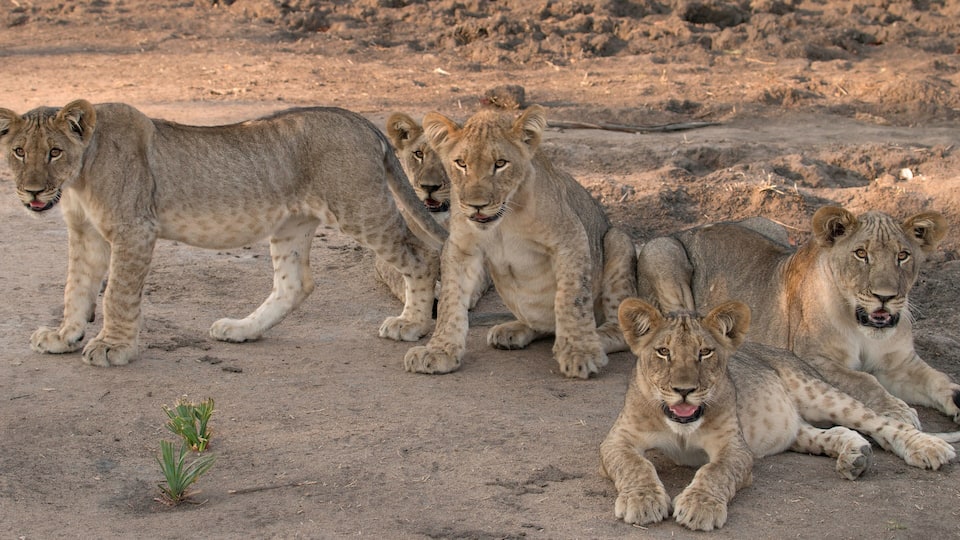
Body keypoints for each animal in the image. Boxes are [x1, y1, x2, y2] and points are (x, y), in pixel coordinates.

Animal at [0, 100, 447, 367]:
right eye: (19, 151)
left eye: (54, 152)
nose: (33, 191)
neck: (77, 178)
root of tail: (362, 122)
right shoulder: (85, 234)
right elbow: (75, 289)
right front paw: (64, 336)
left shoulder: (135, 230)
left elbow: (116, 295)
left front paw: (113, 347)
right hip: (292, 224)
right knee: (295, 285)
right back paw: (241, 330)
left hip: (360, 208)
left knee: (421, 254)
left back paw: (411, 324)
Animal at [402, 105, 638, 378]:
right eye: (461, 163)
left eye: (500, 164)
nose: (476, 206)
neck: (504, 220)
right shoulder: (461, 247)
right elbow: (450, 302)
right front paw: (439, 351)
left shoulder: (571, 237)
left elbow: (572, 298)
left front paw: (580, 352)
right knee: (542, 326)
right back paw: (512, 331)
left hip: (618, 240)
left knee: (619, 331)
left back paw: (594, 340)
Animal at [601, 298, 958, 531]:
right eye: (663, 352)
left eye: (705, 352)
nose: (684, 390)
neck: (681, 426)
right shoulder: (616, 440)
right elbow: (635, 465)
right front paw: (643, 501)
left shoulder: (735, 447)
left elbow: (715, 471)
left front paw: (699, 507)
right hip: (795, 430)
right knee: (835, 433)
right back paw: (855, 458)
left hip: (818, 392)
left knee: (882, 421)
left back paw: (928, 447)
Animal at [637, 206, 960, 427]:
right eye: (861, 254)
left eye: (903, 256)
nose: (886, 296)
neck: (863, 327)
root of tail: (686, 229)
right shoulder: (813, 359)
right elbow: (864, 380)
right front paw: (899, 411)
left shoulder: (901, 363)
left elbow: (938, 379)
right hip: (661, 250)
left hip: (768, 224)